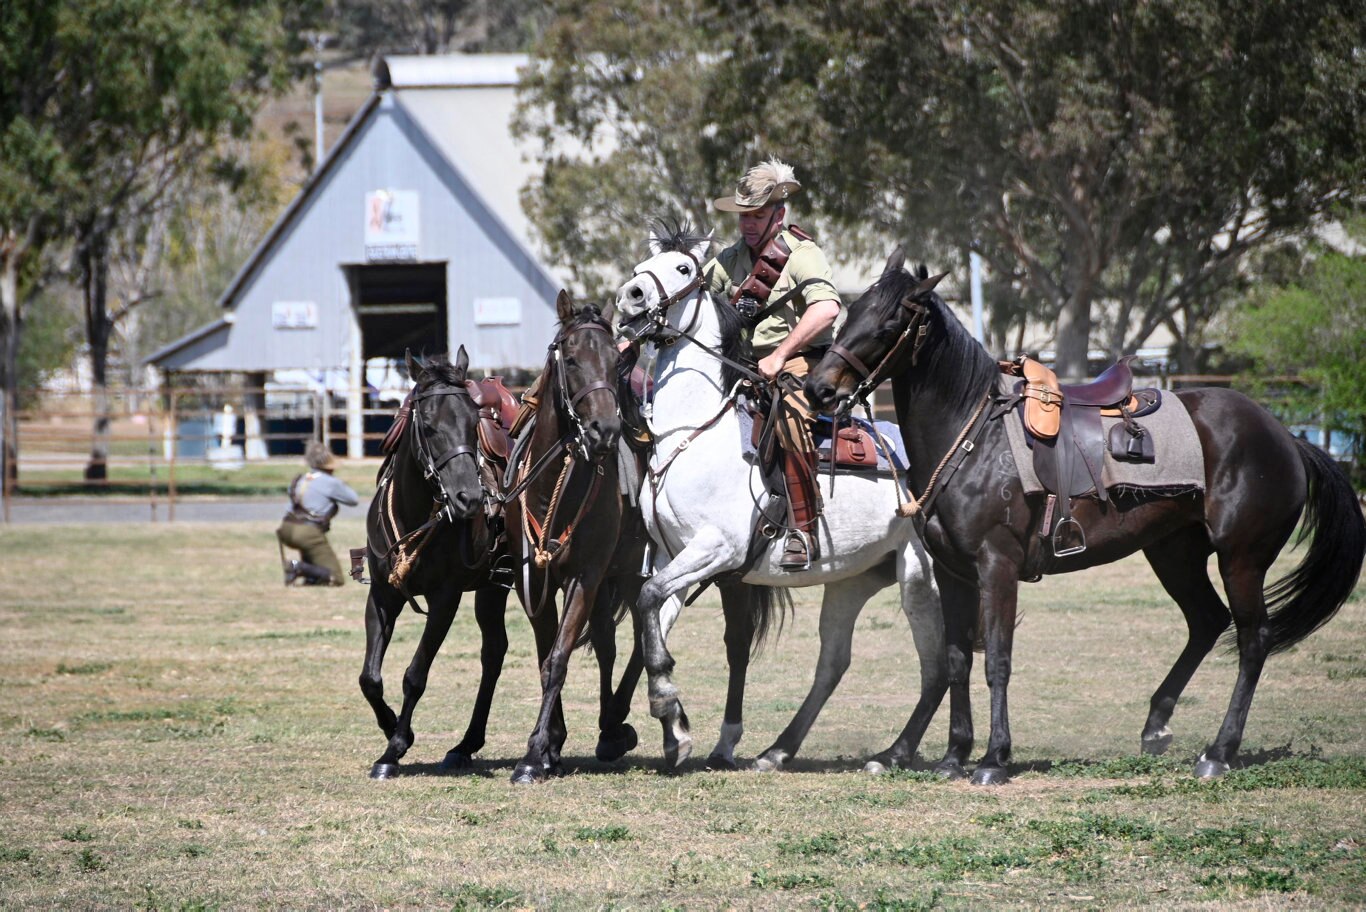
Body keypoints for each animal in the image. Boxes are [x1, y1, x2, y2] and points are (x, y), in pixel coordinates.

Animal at [357, 345, 513, 780]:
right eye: (427, 426)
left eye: (473, 423)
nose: (470, 499)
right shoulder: (382, 595)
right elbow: (370, 678)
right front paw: (392, 726)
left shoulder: (445, 599)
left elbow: (415, 674)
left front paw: (395, 747)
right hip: (491, 588)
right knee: (494, 650)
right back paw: (465, 745)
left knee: (493, 653)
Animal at [620, 223, 950, 775]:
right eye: (644, 264)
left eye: (683, 268)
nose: (631, 296)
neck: (691, 436)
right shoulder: (673, 558)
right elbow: (652, 624)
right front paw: (675, 730)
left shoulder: (716, 550)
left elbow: (647, 603)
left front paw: (667, 703)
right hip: (853, 580)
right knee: (833, 663)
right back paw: (777, 750)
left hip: (919, 576)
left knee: (937, 664)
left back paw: (891, 754)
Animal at [803, 247, 1360, 786]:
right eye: (850, 312)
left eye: (889, 322)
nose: (819, 390)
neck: (975, 438)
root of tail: (1285, 435)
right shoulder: (953, 571)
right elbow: (958, 658)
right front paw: (953, 755)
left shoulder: (997, 566)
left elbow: (997, 660)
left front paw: (993, 759)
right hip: (1174, 553)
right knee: (1207, 622)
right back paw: (1157, 726)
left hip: (1241, 559)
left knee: (1252, 640)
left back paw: (1219, 752)